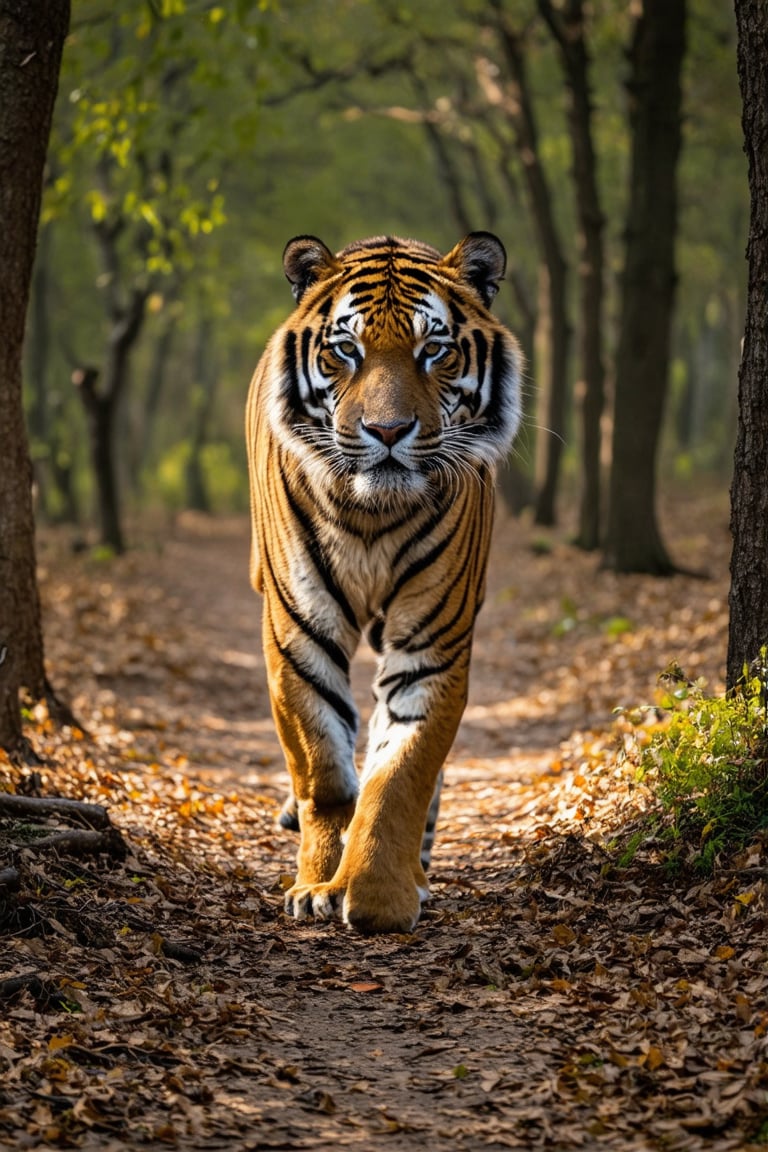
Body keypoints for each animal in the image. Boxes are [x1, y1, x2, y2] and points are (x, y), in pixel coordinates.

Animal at [246, 229, 522, 930]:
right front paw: (316, 885)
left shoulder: (433, 641)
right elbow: (324, 769)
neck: (372, 514)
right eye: (347, 350)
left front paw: (378, 897)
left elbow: (401, 772)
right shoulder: (298, 633)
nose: (389, 431)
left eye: (435, 351)